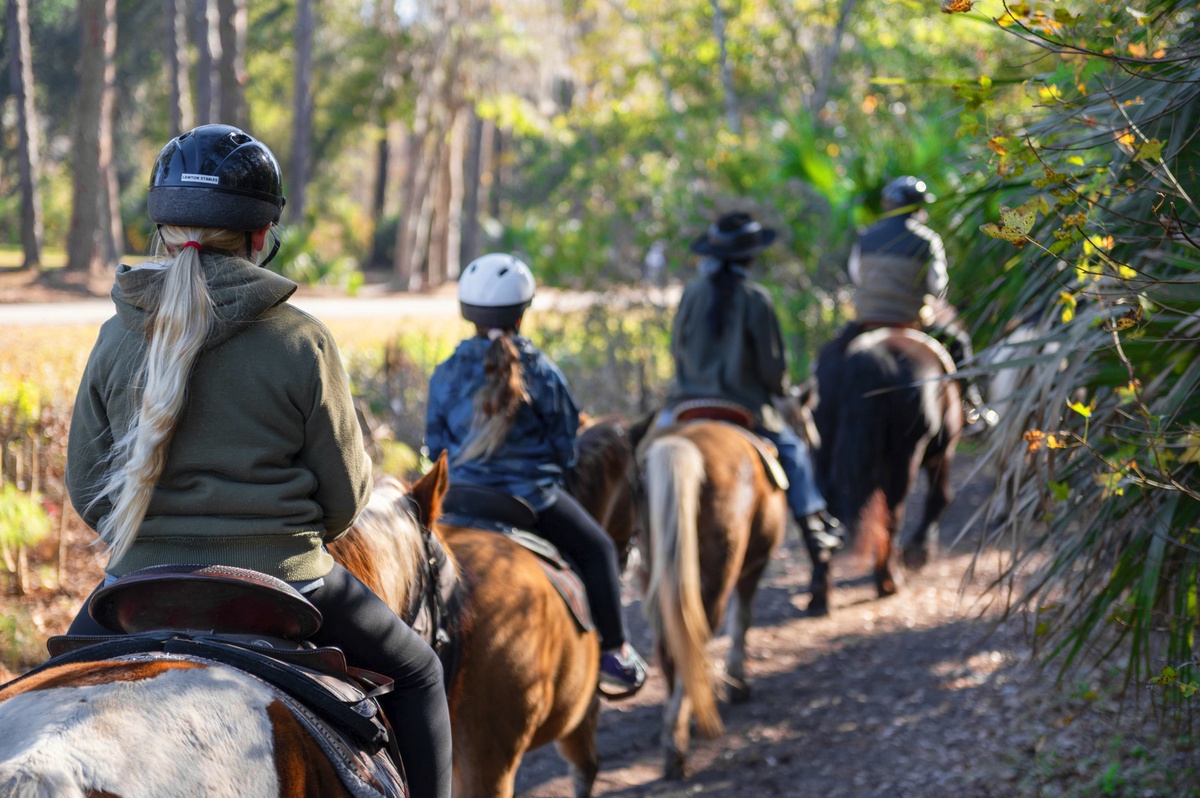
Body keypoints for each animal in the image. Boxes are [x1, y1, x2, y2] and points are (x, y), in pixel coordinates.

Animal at [629, 412, 789, 780]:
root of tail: (678, 447)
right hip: (716, 576)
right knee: (696, 637)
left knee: (670, 647)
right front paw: (738, 683)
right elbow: (741, 619)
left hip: (655, 577)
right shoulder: (753, 567)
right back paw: (676, 746)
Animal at [810, 322, 963, 605]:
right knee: (894, 513)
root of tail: (867, 357)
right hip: (905, 456)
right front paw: (918, 552)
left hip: (823, 446)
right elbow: (940, 497)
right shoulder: (942, 450)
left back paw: (820, 591)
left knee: (826, 515)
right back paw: (889, 580)